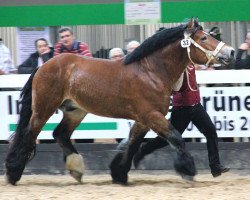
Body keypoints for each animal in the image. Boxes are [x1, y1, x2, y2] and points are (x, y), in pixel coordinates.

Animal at [5, 18, 234, 184]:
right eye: (203, 38)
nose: (230, 52)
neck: (151, 71)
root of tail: (43, 65)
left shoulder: (143, 119)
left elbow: (132, 144)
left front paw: (120, 174)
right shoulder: (151, 115)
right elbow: (176, 137)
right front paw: (188, 170)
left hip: (75, 110)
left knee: (60, 134)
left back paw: (77, 170)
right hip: (44, 108)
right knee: (29, 134)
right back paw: (13, 173)